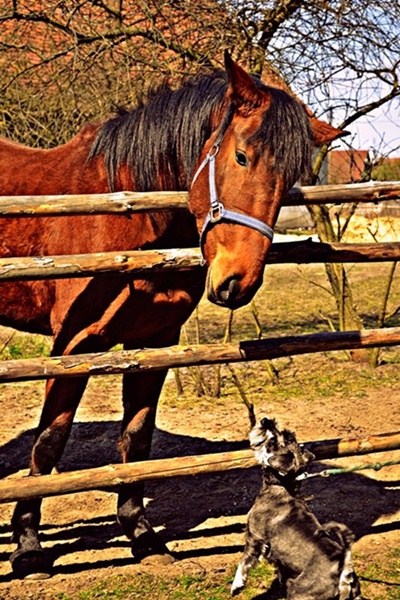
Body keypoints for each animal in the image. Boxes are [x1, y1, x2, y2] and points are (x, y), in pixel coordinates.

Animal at [0, 54, 338, 580]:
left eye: (290, 182)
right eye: (242, 157)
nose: (237, 282)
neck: (130, 213)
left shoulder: (155, 342)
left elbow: (136, 439)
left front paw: (142, 536)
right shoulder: (72, 346)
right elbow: (49, 442)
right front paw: (29, 548)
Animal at [230, 418, 364, 600]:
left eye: (273, 442)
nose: (266, 421)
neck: (282, 486)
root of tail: (345, 576)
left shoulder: (255, 538)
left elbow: (244, 561)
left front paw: (236, 585)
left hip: (300, 594)